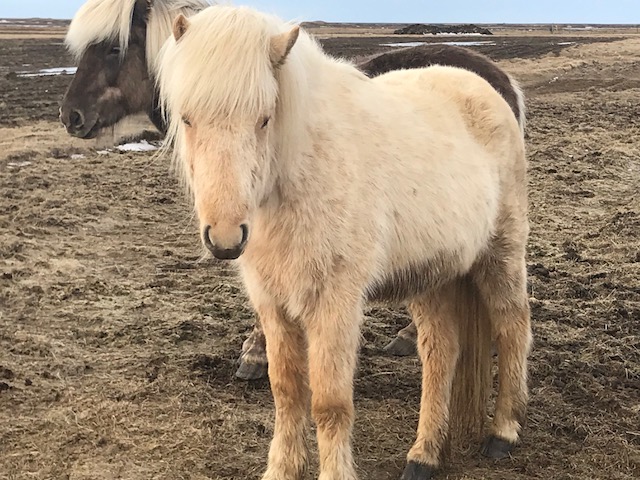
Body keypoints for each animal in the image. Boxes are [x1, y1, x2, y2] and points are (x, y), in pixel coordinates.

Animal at [158, 4, 532, 480]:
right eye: (187, 117)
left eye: (264, 118)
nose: (225, 238)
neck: (303, 172)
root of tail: (489, 90)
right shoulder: (273, 303)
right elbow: (286, 391)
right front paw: (282, 468)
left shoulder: (334, 303)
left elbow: (330, 403)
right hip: (433, 275)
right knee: (441, 352)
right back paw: (423, 455)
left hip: (501, 254)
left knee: (512, 327)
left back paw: (504, 432)